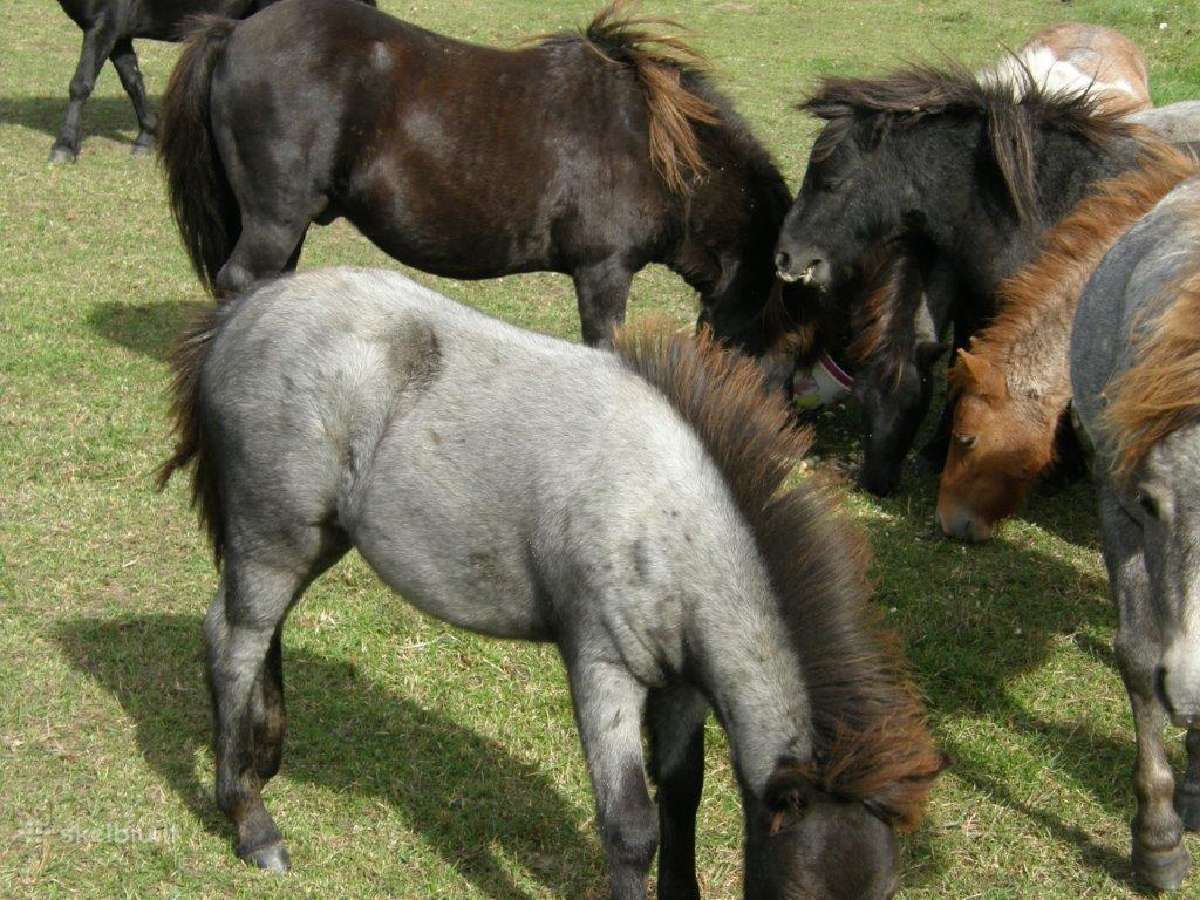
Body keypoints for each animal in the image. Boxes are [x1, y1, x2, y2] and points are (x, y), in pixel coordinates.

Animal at [49, 0, 374, 162]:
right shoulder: (118, 33)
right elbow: (132, 81)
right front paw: (147, 136)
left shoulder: (103, 26)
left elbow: (81, 84)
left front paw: (64, 146)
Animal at [156, 266, 944, 898]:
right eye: (801, 894)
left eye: (885, 896)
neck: (670, 515)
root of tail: (241, 311)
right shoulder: (601, 664)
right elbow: (630, 824)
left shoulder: (683, 682)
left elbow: (681, 793)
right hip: (273, 537)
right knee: (231, 642)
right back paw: (252, 822)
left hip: (312, 541)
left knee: (261, 633)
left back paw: (266, 757)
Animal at [773, 64, 1165, 496]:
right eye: (862, 402)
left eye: (834, 182)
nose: (786, 256)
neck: (1038, 209)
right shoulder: (976, 305)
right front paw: (938, 449)